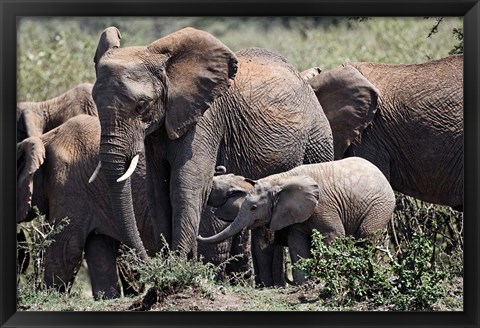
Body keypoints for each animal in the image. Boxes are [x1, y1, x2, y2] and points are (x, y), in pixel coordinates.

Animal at [93, 26, 334, 286]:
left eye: (141, 105)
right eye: (95, 103)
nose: (150, 263)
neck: (167, 65)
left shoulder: (206, 117)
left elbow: (186, 184)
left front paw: (178, 268)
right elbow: (158, 189)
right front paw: (170, 266)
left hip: (318, 136)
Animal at [197, 158, 396, 284]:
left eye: (253, 208)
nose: (197, 236)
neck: (280, 179)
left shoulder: (324, 206)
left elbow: (333, 235)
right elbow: (296, 243)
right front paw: (304, 285)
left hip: (379, 206)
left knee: (368, 237)